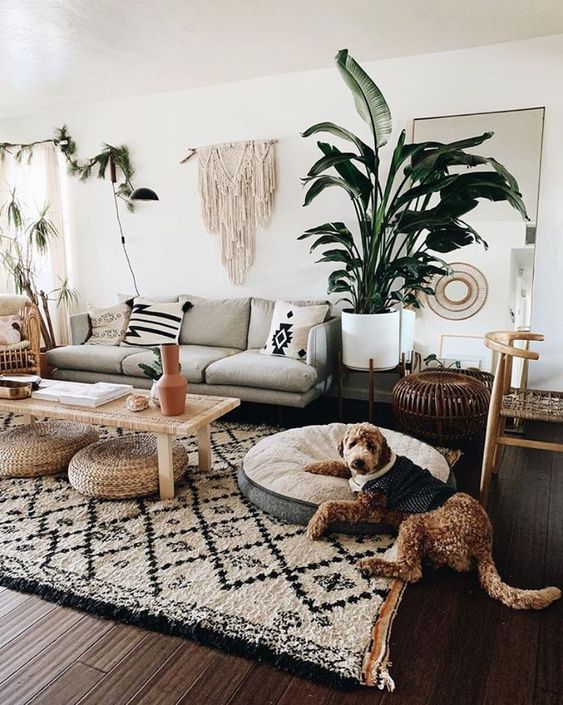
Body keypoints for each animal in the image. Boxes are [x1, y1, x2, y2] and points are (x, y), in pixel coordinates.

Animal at [306, 424, 560, 612]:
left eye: (371, 446)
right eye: (352, 444)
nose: (359, 461)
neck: (373, 471)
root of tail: (485, 542)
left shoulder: (369, 508)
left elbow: (330, 504)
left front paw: (315, 524)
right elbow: (338, 465)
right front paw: (313, 466)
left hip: (416, 523)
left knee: (411, 570)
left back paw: (371, 564)